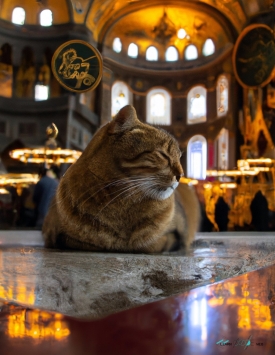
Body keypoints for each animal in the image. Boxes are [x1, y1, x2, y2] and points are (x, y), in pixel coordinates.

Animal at [42, 105, 199, 253]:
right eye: (163, 155)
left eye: (179, 158)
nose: (181, 175)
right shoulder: (54, 235)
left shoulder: (175, 236)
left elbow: (151, 244)